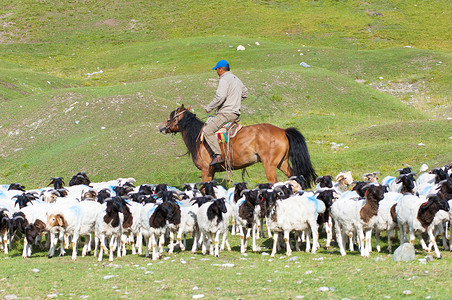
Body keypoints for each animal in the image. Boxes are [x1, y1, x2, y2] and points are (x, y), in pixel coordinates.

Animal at [159, 104, 318, 186]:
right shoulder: (211, 172)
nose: (161, 127)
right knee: (294, 176)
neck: (198, 139)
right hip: (282, 163)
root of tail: (283, 131)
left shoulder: (205, 170)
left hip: (270, 165)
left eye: (171, 116)